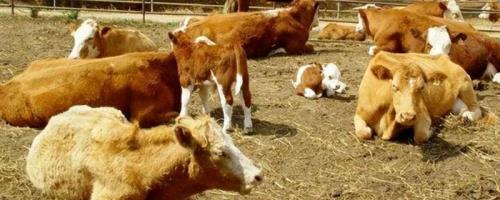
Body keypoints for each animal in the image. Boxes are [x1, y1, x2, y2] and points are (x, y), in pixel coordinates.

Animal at [354, 51, 494, 144]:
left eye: (421, 87)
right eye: (394, 86)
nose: (408, 116)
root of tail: (444, 56)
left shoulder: (422, 113)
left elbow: (420, 136)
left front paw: (433, 129)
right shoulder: (359, 113)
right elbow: (363, 133)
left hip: (466, 84)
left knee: (476, 110)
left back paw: (468, 117)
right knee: (462, 107)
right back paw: (462, 116)